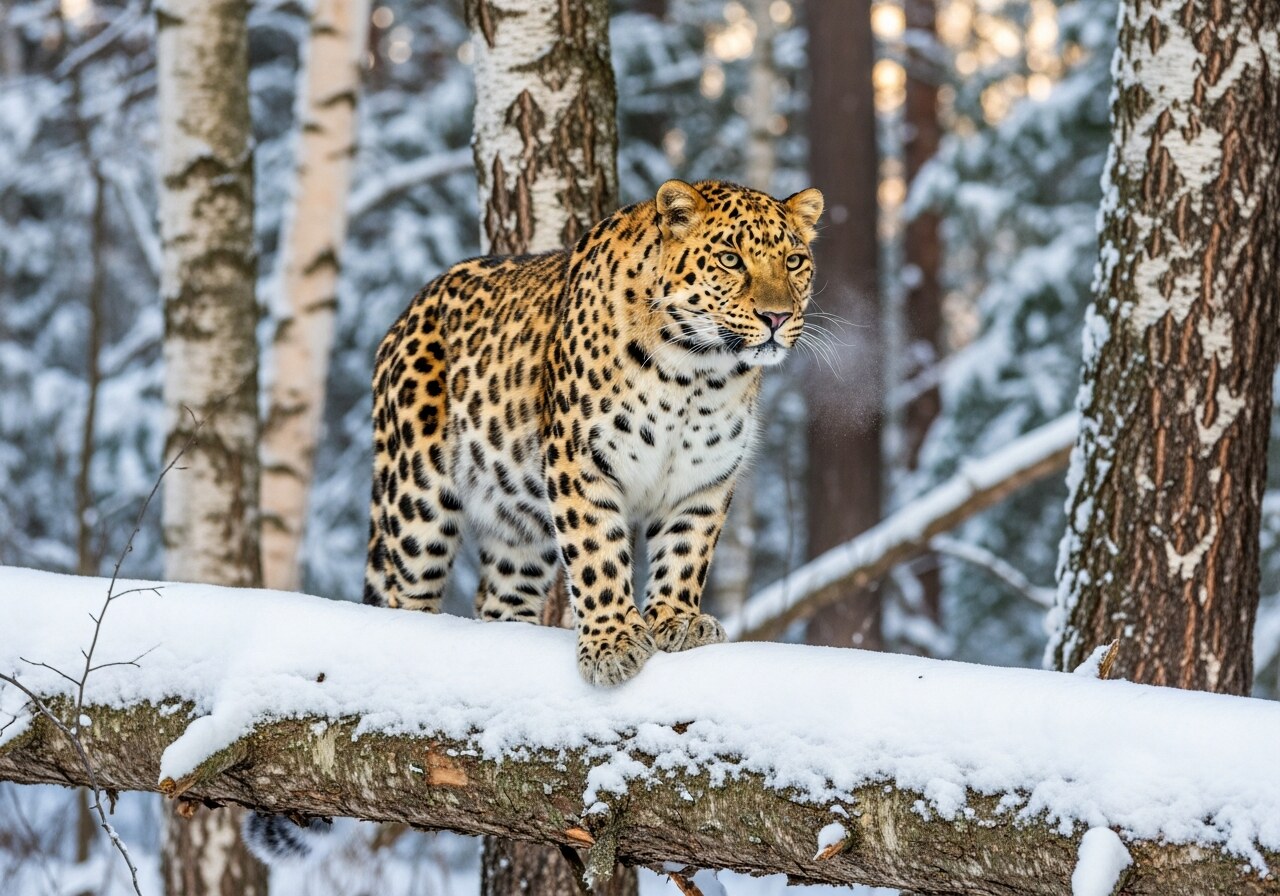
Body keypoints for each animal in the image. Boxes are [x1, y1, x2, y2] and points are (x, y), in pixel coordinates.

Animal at [363, 179, 824, 687]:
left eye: (794, 261)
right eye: (730, 259)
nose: (776, 318)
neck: (699, 372)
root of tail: (407, 311)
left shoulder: (702, 478)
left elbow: (686, 550)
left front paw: (678, 620)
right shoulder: (581, 463)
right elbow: (597, 554)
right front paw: (613, 642)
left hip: (517, 527)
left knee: (498, 598)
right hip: (415, 504)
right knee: (403, 594)